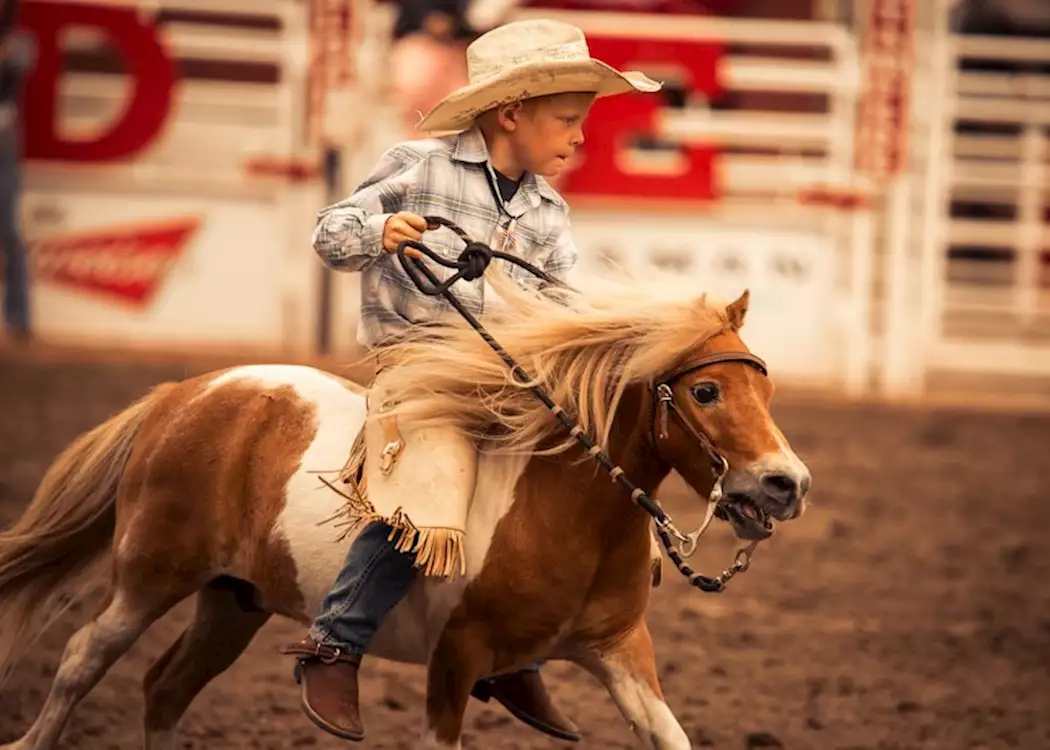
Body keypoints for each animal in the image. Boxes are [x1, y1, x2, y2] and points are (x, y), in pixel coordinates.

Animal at [0, 271, 810, 747]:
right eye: (706, 391)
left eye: (766, 388)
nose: (787, 484)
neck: (561, 509)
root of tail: (183, 394)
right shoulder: (454, 660)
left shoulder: (620, 652)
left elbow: (670, 735)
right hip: (147, 578)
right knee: (81, 659)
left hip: (235, 602)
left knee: (165, 689)